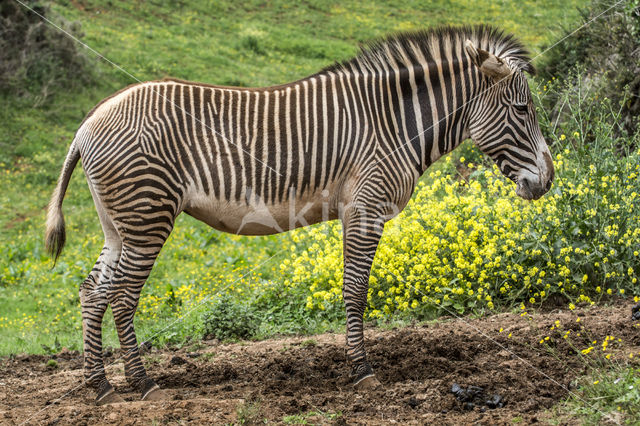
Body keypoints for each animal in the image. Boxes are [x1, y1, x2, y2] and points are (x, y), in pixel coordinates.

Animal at [46, 25, 556, 404]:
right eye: (522, 109)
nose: (548, 180)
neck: (394, 124)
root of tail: (88, 123)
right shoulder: (366, 208)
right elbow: (355, 290)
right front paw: (362, 371)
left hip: (120, 226)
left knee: (92, 291)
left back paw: (101, 387)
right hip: (147, 217)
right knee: (121, 297)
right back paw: (143, 384)